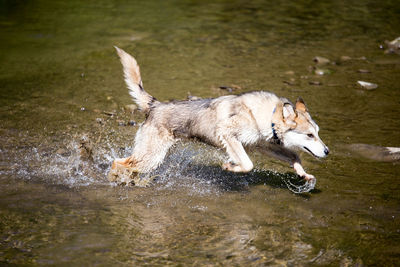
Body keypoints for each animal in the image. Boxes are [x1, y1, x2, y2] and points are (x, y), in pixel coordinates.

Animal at [108, 47, 330, 186]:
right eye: (309, 135)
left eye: (318, 133)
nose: (327, 151)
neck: (268, 116)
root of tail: (155, 105)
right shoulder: (227, 133)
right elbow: (247, 165)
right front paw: (229, 166)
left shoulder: (261, 146)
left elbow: (295, 156)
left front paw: (303, 174)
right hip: (151, 157)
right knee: (118, 162)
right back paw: (115, 179)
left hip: (157, 156)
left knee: (127, 163)